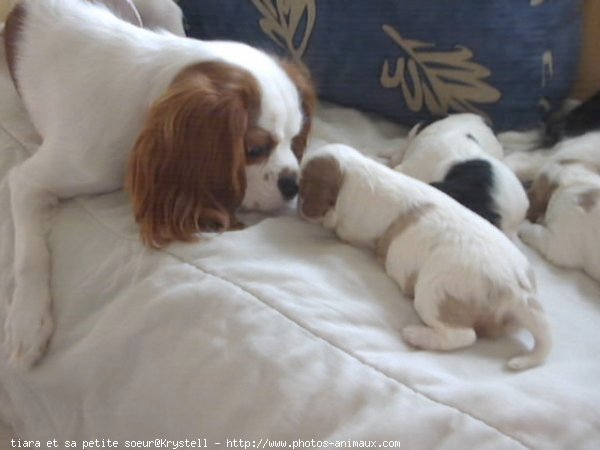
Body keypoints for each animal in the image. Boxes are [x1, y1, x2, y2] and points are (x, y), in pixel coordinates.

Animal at [2, 0, 316, 366]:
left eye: (295, 140)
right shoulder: (31, 179)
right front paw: (28, 321)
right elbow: (31, 255)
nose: (294, 185)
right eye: (254, 150)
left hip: (166, 10)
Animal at [300, 145, 552, 372]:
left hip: (433, 292)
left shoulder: (351, 228)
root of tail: (518, 293)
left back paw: (416, 335)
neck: (354, 171)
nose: (296, 198)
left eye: (303, 187)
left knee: (464, 335)